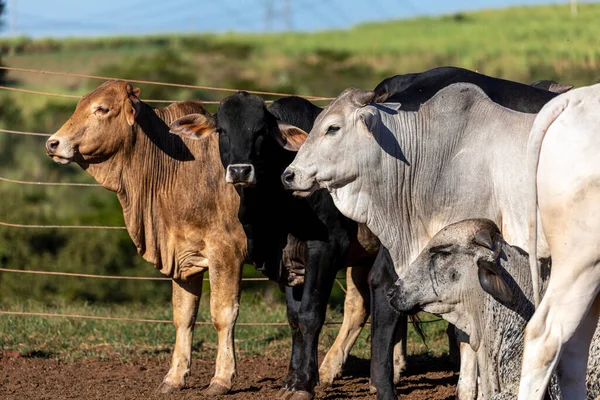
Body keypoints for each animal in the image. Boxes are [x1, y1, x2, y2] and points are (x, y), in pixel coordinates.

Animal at [44, 79, 246, 396]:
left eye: (102, 109)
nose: (52, 143)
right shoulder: (183, 256)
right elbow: (183, 316)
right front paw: (174, 377)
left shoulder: (227, 251)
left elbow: (223, 314)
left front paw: (222, 379)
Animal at [168, 93, 380, 396]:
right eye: (222, 130)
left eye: (261, 132)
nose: (240, 170)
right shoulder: (289, 262)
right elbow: (294, 319)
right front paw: (293, 379)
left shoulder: (325, 248)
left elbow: (310, 315)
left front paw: (303, 385)